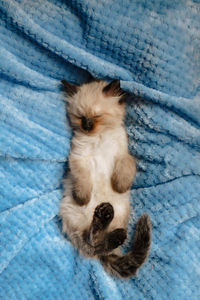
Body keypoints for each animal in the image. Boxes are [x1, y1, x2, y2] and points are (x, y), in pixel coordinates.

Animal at [59, 78, 152, 278]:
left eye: (97, 116)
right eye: (80, 117)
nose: (87, 126)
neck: (98, 137)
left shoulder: (123, 156)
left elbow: (125, 169)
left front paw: (119, 186)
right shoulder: (79, 158)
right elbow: (83, 182)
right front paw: (83, 198)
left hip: (119, 212)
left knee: (98, 243)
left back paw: (108, 220)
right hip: (75, 218)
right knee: (92, 242)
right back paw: (105, 217)